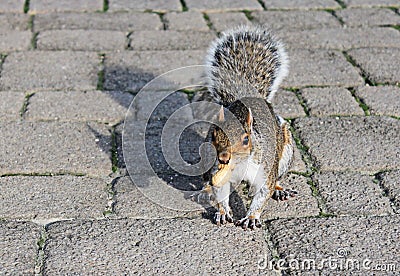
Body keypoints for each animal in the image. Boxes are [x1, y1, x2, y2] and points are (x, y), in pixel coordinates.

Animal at [192, 25, 298, 230]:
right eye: (213, 135)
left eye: (246, 139)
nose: (223, 158)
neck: (239, 166)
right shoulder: (217, 171)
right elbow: (220, 191)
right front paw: (223, 212)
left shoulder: (264, 168)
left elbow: (263, 193)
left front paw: (251, 217)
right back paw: (205, 189)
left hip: (285, 151)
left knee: (277, 177)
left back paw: (280, 190)